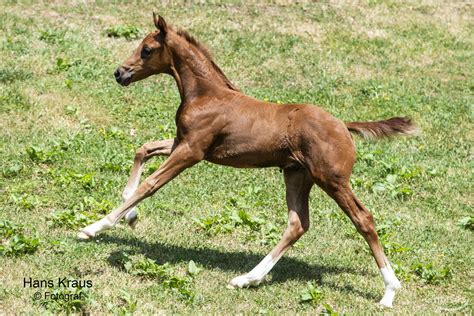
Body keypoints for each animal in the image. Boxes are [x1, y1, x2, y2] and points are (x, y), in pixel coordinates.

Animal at [78, 14, 418, 306]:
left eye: (147, 49)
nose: (120, 73)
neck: (206, 94)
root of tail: (345, 125)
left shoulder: (192, 151)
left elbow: (150, 184)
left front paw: (96, 226)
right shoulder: (181, 142)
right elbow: (144, 149)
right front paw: (130, 213)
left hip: (331, 179)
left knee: (363, 219)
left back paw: (389, 291)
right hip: (297, 174)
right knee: (297, 223)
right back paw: (247, 279)